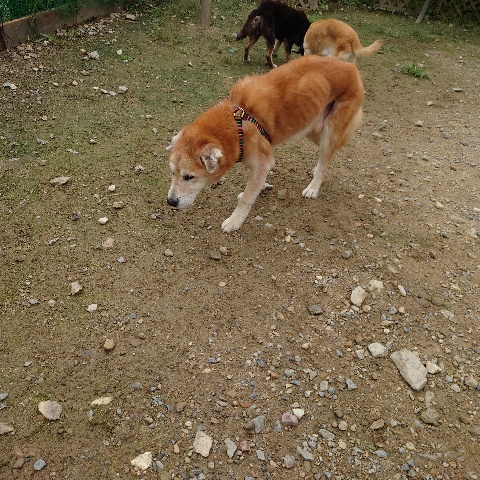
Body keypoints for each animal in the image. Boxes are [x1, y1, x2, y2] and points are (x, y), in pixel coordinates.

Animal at [166, 56, 364, 233]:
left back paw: (313, 187)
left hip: (328, 131)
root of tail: (350, 67)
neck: (237, 124)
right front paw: (261, 187)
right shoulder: (261, 159)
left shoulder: (262, 162)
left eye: (189, 176)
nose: (170, 202)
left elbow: (247, 197)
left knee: (326, 158)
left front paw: (235, 220)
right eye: (173, 172)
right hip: (312, 128)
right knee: (329, 155)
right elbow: (255, 185)